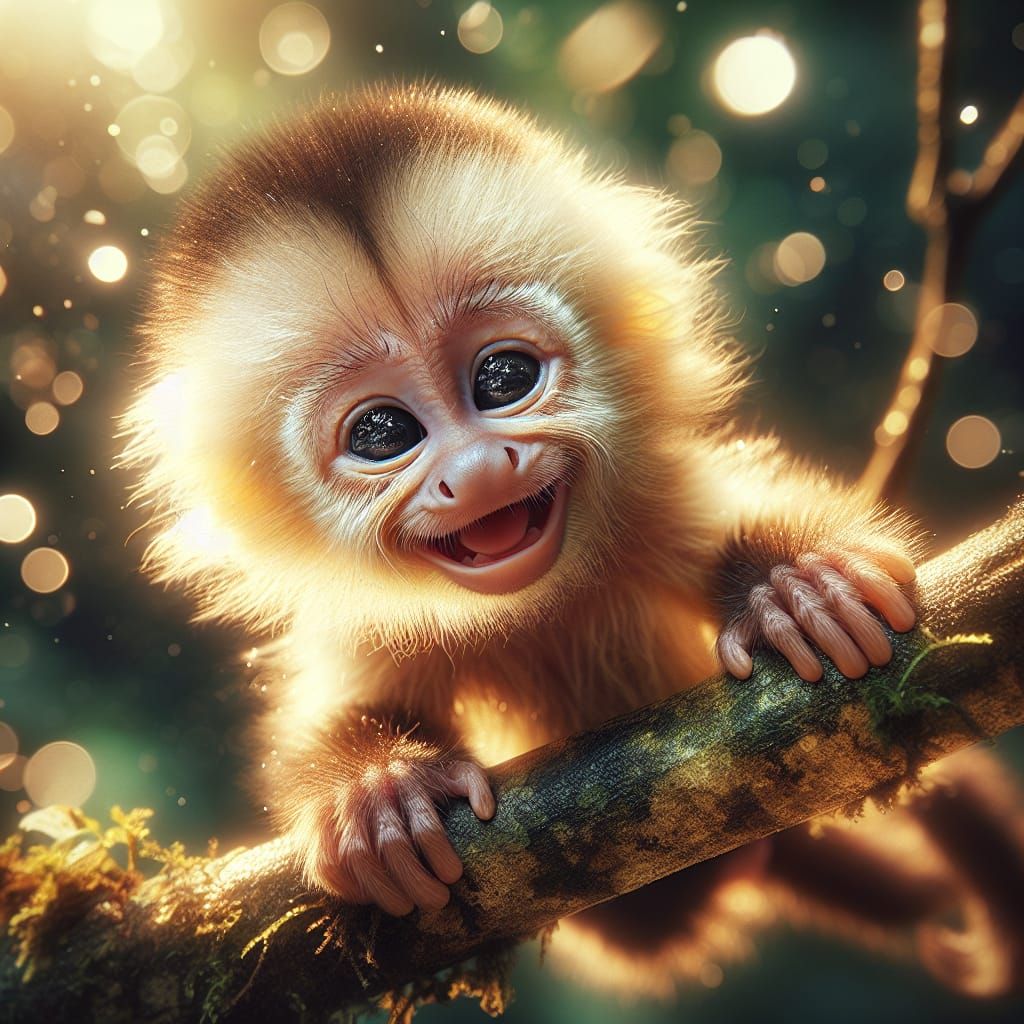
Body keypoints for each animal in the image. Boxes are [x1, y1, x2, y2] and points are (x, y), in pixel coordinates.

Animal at [120, 84, 1022, 996]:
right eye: (382, 432)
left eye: (504, 378)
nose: (480, 470)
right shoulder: (367, 623)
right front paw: (373, 787)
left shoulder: (656, 498)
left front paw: (797, 588)